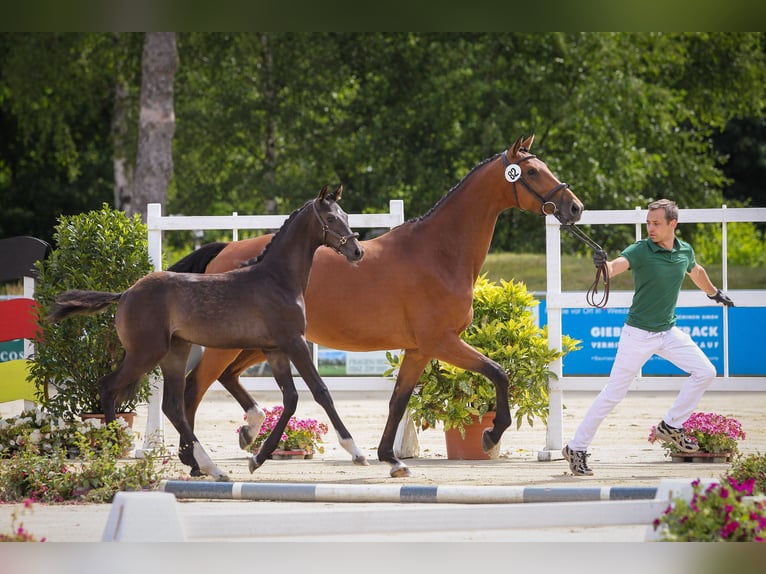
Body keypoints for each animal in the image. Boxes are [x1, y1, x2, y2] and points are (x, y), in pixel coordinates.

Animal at [46, 187, 368, 484]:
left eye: (346, 216)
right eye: (330, 218)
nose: (357, 252)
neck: (276, 280)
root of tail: (125, 293)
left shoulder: (275, 349)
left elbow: (290, 399)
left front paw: (257, 458)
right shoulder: (294, 342)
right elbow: (320, 391)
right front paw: (355, 451)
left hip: (175, 353)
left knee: (172, 405)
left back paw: (208, 466)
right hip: (146, 353)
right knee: (109, 387)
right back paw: (119, 452)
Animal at [174, 134, 584, 476]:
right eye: (532, 171)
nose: (575, 208)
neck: (439, 252)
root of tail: (225, 249)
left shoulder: (419, 350)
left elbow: (397, 402)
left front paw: (391, 458)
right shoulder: (442, 342)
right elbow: (498, 372)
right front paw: (491, 434)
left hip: (258, 345)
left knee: (224, 379)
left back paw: (241, 437)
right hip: (231, 346)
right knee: (192, 389)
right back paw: (198, 461)